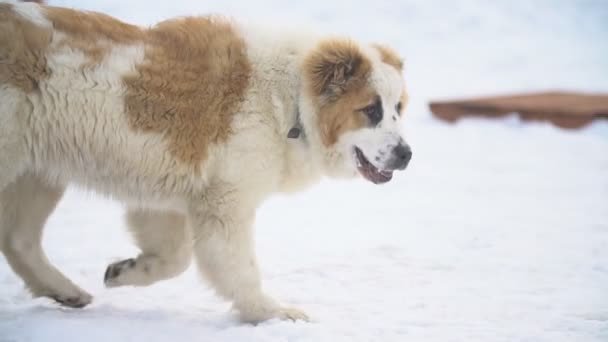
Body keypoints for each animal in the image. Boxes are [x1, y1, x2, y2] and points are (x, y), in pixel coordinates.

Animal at [0, 0, 410, 324]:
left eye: (398, 109)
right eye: (371, 110)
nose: (407, 154)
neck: (289, 97)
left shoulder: (162, 193)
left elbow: (175, 257)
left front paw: (126, 271)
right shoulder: (225, 202)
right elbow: (238, 266)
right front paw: (269, 313)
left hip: (37, 172)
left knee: (19, 238)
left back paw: (64, 290)